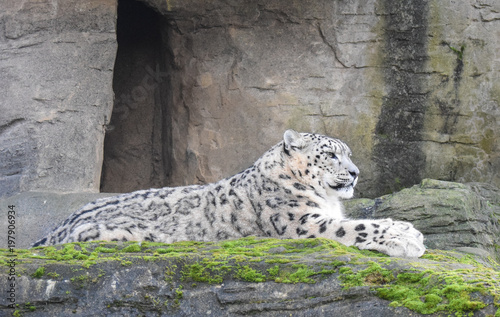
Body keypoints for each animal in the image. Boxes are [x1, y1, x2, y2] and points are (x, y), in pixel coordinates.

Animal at [31, 129, 424, 256]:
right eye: (331, 154)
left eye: (349, 153)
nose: (356, 173)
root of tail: (54, 229)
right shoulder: (302, 223)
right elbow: (355, 226)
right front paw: (408, 237)